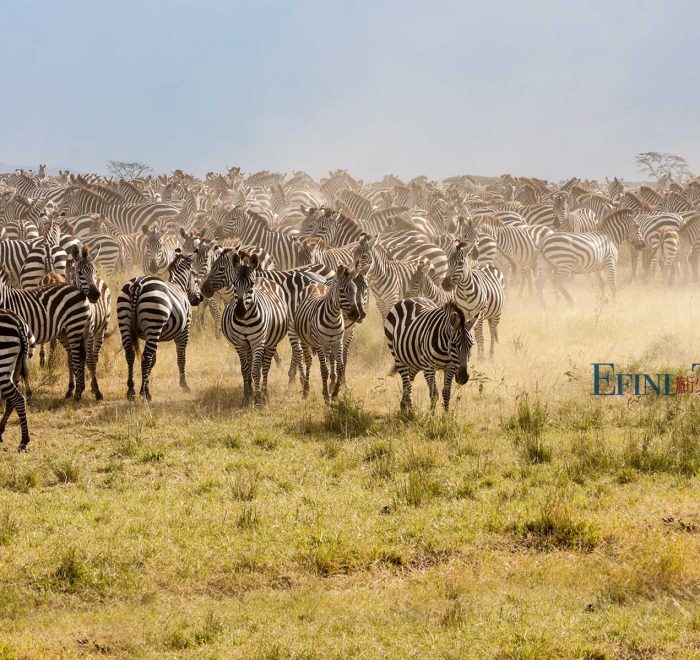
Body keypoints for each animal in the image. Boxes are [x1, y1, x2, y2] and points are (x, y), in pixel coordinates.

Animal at [117, 249, 202, 400]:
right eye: (196, 279)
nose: (200, 298)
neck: (179, 285)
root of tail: (137, 285)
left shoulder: (150, 335)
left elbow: (154, 361)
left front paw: (143, 385)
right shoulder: (184, 332)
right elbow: (181, 358)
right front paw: (184, 385)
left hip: (125, 322)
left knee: (130, 355)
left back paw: (131, 390)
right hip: (154, 324)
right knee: (146, 357)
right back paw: (147, 394)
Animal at [217, 253, 286, 408]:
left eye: (251, 284)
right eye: (234, 283)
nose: (240, 311)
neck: (246, 320)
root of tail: (262, 277)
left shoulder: (258, 342)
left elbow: (255, 371)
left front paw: (258, 401)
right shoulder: (239, 344)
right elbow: (245, 370)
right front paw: (247, 397)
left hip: (270, 343)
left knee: (265, 367)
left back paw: (265, 394)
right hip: (248, 345)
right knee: (251, 365)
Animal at [294, 264, 360, 402]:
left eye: (355, 290)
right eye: (342, 291)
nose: (356, 315)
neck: (333, 319)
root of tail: (315, 284)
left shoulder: (338, 342)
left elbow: (340, 367)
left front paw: (335, 392)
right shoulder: (319, 343)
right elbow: (323, 369)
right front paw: (326, 396)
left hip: (327, 344)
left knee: (329, 360)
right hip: (306, 340)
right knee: (308, 361)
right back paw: (306, 390)